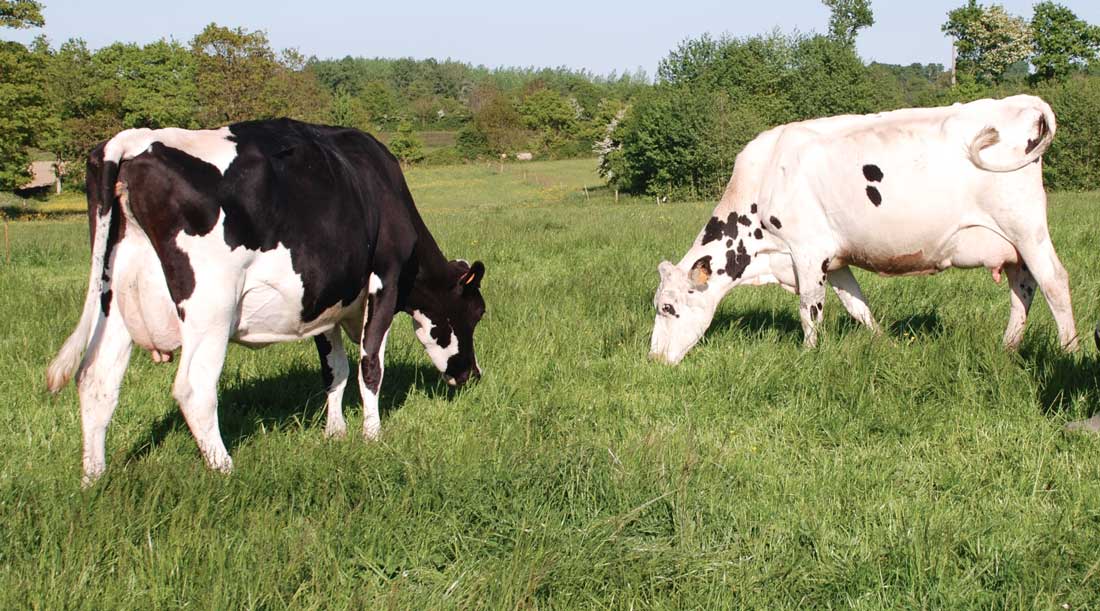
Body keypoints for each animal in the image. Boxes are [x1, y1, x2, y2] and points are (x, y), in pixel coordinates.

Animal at [47, 118, 486, 482]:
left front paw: (335, 433)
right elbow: (369, 365)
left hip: (113, 301)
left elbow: (335, 369)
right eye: (476, 312)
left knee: (96, 381)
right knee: (193, 388)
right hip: (211, 305)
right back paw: (226, 470)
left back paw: (94, 479)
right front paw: (372, 435)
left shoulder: (323, 300)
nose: (472, 374)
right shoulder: (385, 279)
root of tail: (132, 141)